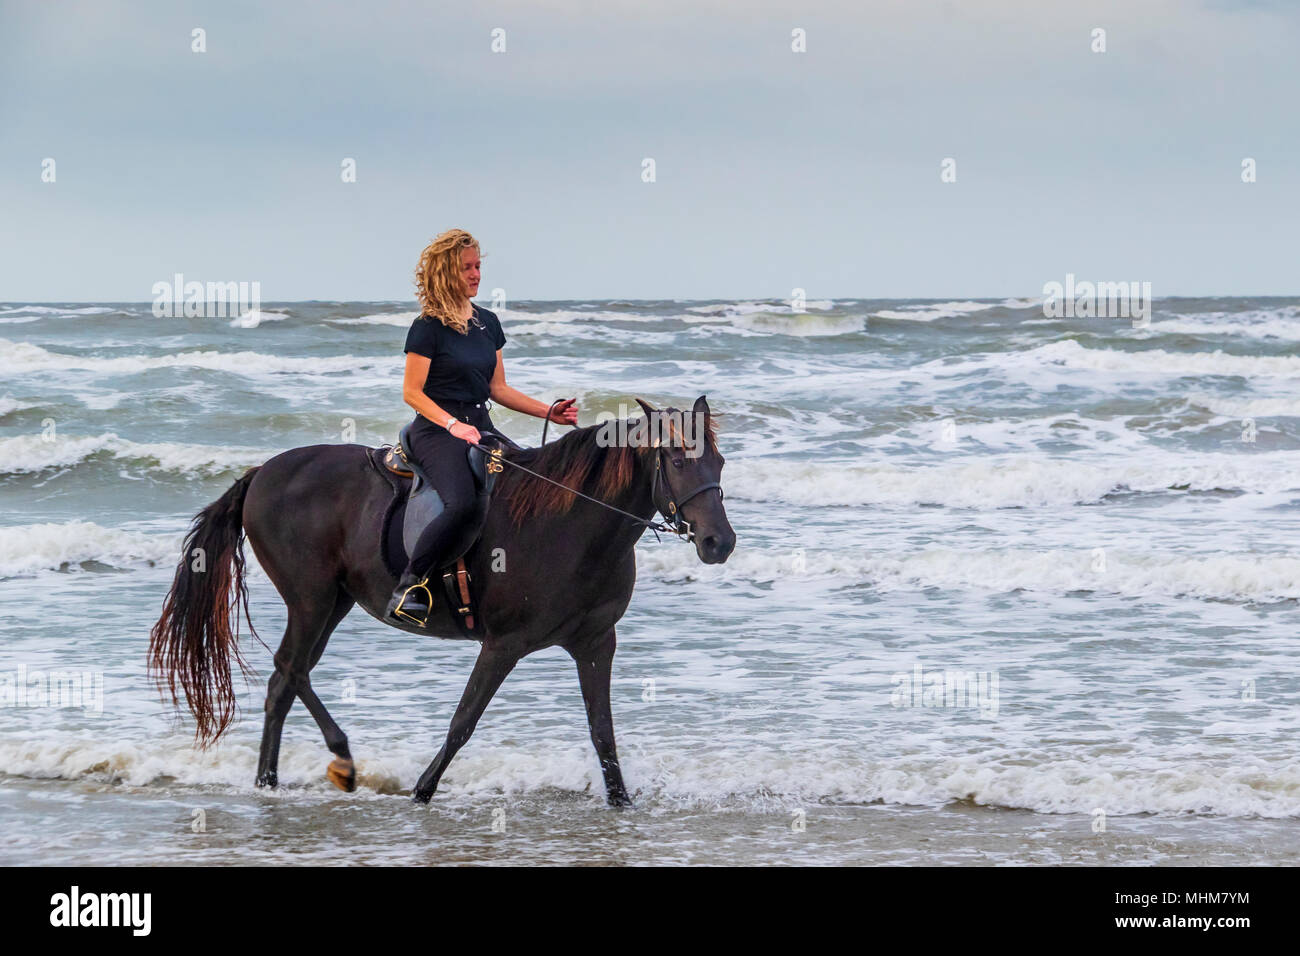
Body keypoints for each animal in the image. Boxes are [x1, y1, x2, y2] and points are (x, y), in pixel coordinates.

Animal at [148, 395, 738, 806]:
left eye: (720, 463)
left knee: (283, 683)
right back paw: (340, 758)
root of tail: (261, 474)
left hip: (333, 603)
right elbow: (463, 722)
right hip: (311, 599)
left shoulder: (596, 643)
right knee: (289, 669)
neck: (572, 523)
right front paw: (423, 789)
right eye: (677, 462)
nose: (719, 543)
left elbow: (603, 733)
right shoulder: (503, 645)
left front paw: (621, 802)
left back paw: (269, 781)